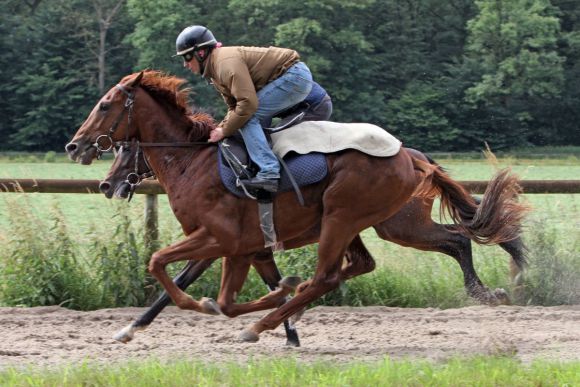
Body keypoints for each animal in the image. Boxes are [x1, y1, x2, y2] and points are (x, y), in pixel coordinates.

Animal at [65, 71, 528, 344]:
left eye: (105, 105)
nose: (76, 146)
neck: (194, 160)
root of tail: (410, 157)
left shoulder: (219, 238)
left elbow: (164, 266)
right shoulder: (241, 246)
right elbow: (214, 286)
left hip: (354, 219)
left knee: (335, 273)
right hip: (371, 225)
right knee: (394, 256)